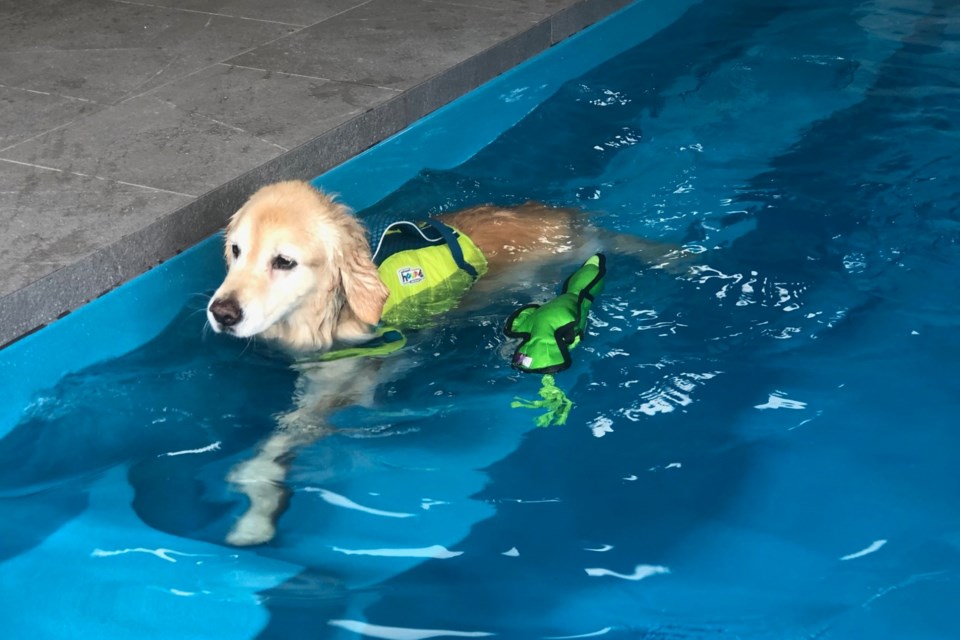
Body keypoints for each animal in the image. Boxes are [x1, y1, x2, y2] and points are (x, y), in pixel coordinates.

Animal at [207, 180, 688, 544]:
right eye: (235, 251)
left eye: (284, 261)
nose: (221, 312)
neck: (332, 312)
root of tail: (565, 215)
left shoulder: (345, 386)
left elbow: (281, 439)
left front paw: (253, 516)